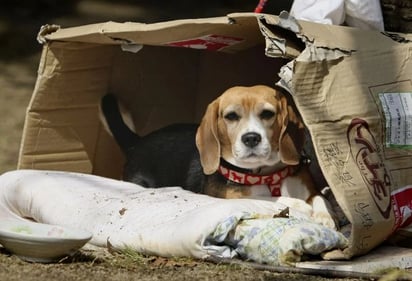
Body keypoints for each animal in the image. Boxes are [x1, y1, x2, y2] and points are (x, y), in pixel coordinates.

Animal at [100, 85, 338, 228]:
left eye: (267, 114)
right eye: (231, 116)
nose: (251, 138)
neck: (267, 174)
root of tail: (138, 142)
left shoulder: (309, 188)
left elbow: (320, 198)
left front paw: (326, 218)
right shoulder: (232, 197)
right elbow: (268, 198)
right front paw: (299, 205)